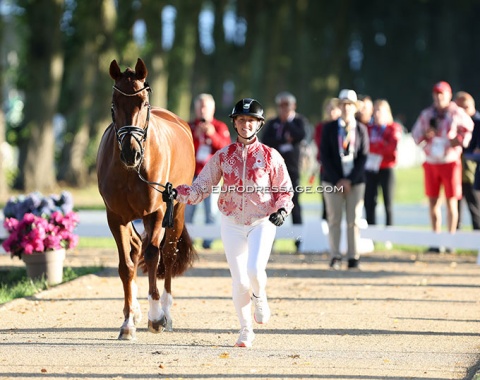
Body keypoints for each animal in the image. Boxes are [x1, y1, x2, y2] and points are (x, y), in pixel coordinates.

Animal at [96, 58, 196, 338]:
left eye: (143, 103)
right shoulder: (115, 216)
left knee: (168, 255)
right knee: (136, 247)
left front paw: (155, 317)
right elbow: (126, 265)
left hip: (177, 212)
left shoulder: (157, 212)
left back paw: (167, 313)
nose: (131, 153)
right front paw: (128, 322)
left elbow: (153, 256)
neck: (132, 172)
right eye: (114, 104)